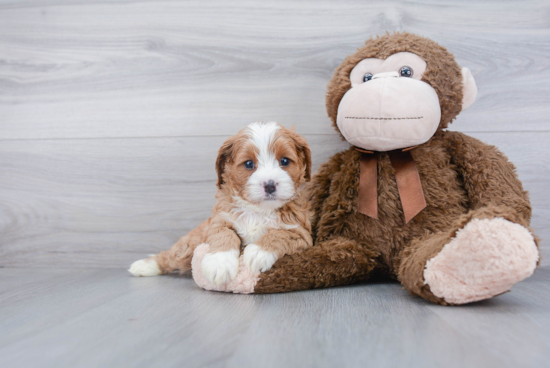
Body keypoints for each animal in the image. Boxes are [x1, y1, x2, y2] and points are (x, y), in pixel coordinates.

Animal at [126, 122, 312, 286]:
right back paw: (143, 266)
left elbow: (279, 233)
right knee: (172, 256)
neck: (258, 210)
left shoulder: (301, 233)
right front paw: (219, 264)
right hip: (191, 244)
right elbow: (224, 234)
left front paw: (258, 252)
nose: (270, 185)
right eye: (249, 164)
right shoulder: (218, 221)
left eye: (285, 161)